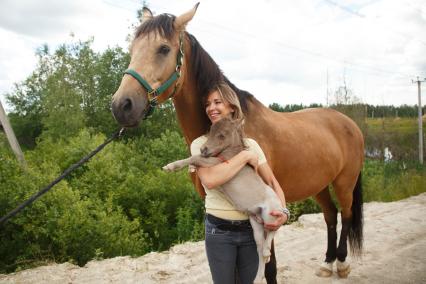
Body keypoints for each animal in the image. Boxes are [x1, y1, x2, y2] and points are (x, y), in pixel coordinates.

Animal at [111, 3, 364, 280]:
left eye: (164, 49)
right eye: (132, 50)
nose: (121, 106)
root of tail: (349, 123)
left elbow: (270, 267)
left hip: (344, 183)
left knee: (346, 214)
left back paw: (342, 263)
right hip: (319, 185)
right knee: (330, 216)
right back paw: (327, 263)